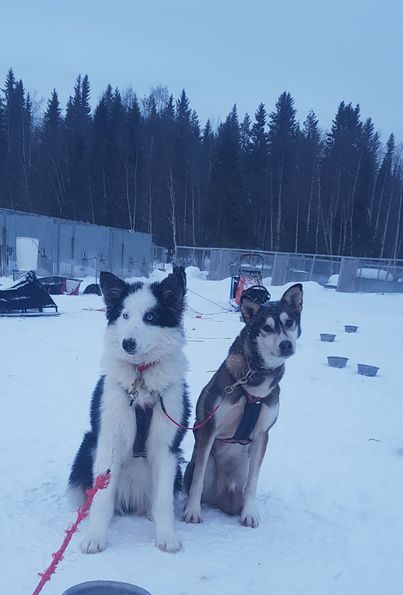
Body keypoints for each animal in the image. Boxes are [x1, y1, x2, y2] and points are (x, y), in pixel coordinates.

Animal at [68, 270, 190, 556]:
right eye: (124, 315)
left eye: (150, 317)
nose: (128, 343)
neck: (141, 376)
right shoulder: (108, 440)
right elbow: (102, 498)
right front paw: (94, 537)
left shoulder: (167, 447)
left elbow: (163, 500)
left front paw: (166, 536)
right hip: (87, 446)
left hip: (178, 466)